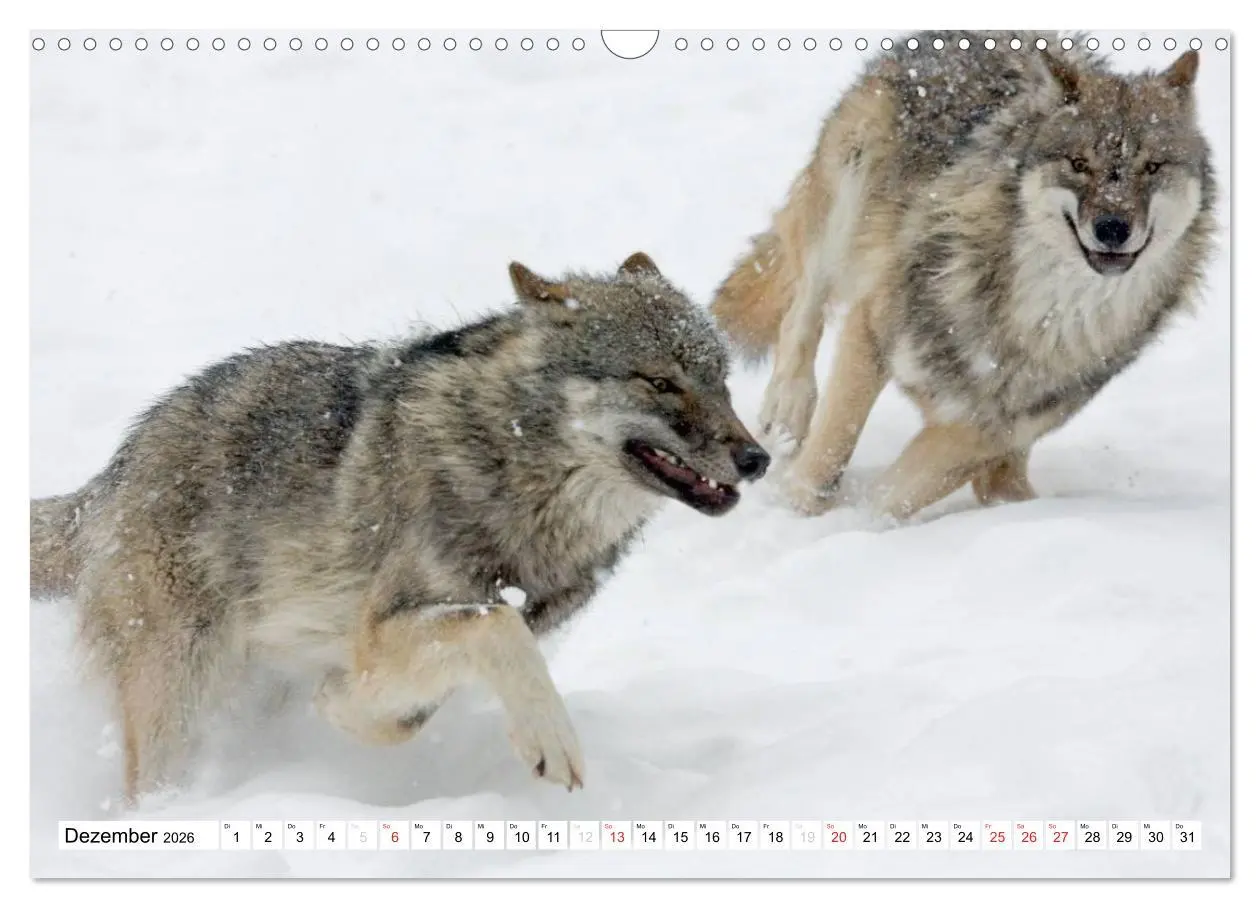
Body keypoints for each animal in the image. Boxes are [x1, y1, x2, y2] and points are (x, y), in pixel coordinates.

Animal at [30, 252, 770, 801]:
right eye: (659, 382)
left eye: (722, 380)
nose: (757, 459)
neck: (508, 473)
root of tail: (113, 475)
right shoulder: (386, 628)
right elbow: (495, 628)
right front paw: (550, 742)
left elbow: (407, 705)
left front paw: (347, 709)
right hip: (179, 690)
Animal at [712, 31, 1215, 519]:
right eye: (1078, 164)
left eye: (1152, 167)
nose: (1112, 228)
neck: (1044, 314)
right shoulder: (872, 327)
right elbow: (832, 447)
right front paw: (795, 510)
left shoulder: (992, 431)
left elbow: (895, 496)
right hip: (850, 191)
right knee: (803, 306)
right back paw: (788, 410)